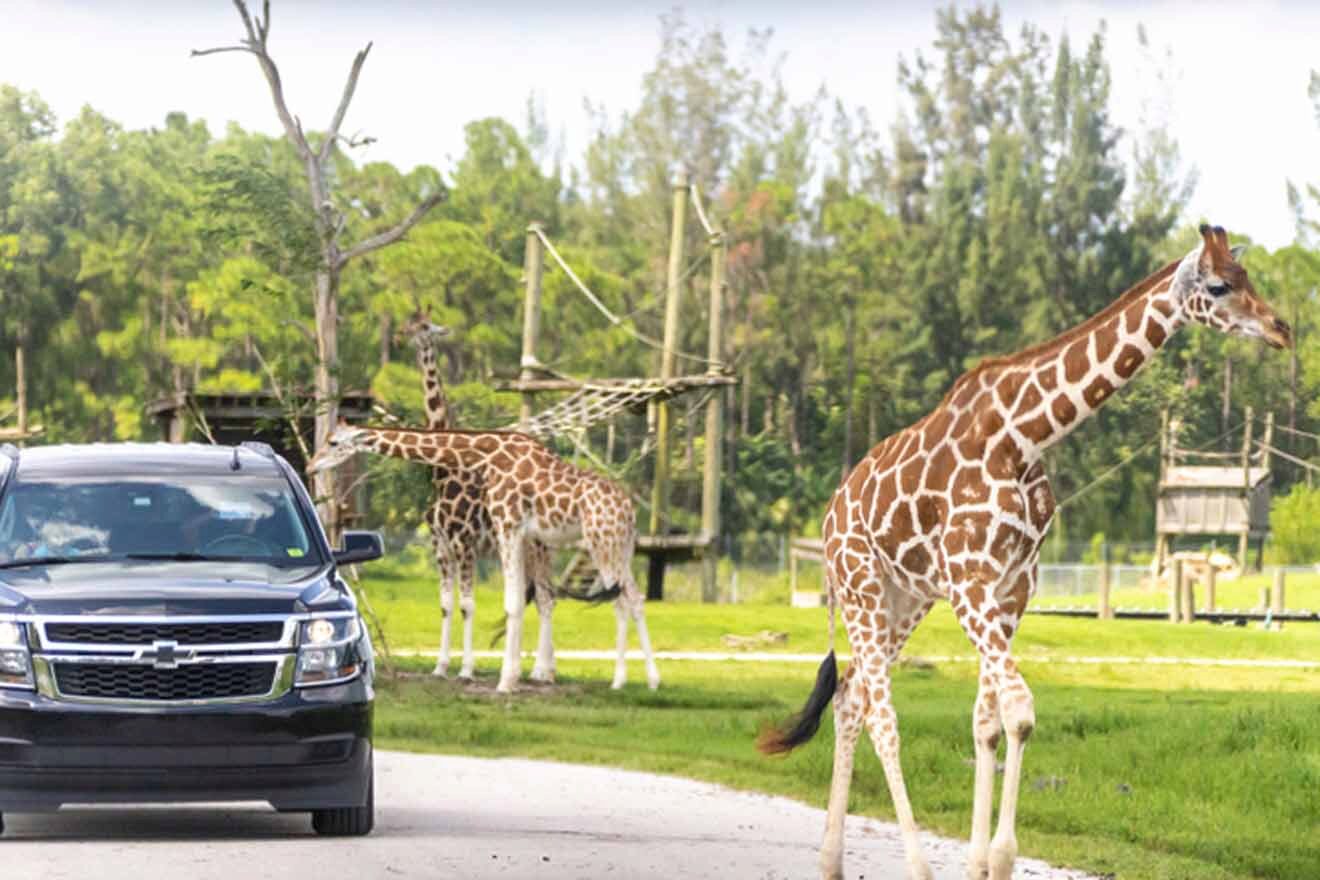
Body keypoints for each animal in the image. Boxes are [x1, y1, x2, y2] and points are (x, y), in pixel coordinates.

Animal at [306, 422, 660, 691]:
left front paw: (505, 681)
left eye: (333, 442)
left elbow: (511, 603)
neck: (485, 455)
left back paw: (619, 680)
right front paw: (511, 675)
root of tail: (630, 512)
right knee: (635, 598)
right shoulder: (513, 532)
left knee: (620, 601)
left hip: (602, 543)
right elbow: (517, 602)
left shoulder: (507, 525)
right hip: (619, 548)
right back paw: (652, 680)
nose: (310, 465)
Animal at [398, 312, 559, 686]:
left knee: (546, 599)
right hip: (521, 551)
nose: (402, 335)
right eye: (410, 322)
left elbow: (467, 605)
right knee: (536, 598)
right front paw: (441, 666)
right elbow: (446, 604)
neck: (442, 474)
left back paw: (542, 672)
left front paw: (467, 670)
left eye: (425, 327)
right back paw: (536, 669)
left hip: (540, 548)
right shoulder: (440, 546)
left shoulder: (463, 542)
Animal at [760, 226, 1293, 880]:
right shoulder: (971, 581)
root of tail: (830, 515)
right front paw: (998, 857)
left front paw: (983, 862)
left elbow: (988, 722)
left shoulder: (1011, 585)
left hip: (902, 597)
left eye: (1248, 279)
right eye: (1218, 286)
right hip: (860, 584)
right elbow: (1019, 711)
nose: (1280, 328)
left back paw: (832, 860)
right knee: (882, 717)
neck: (1026, 436)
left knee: (851, 696)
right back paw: (913, 864)